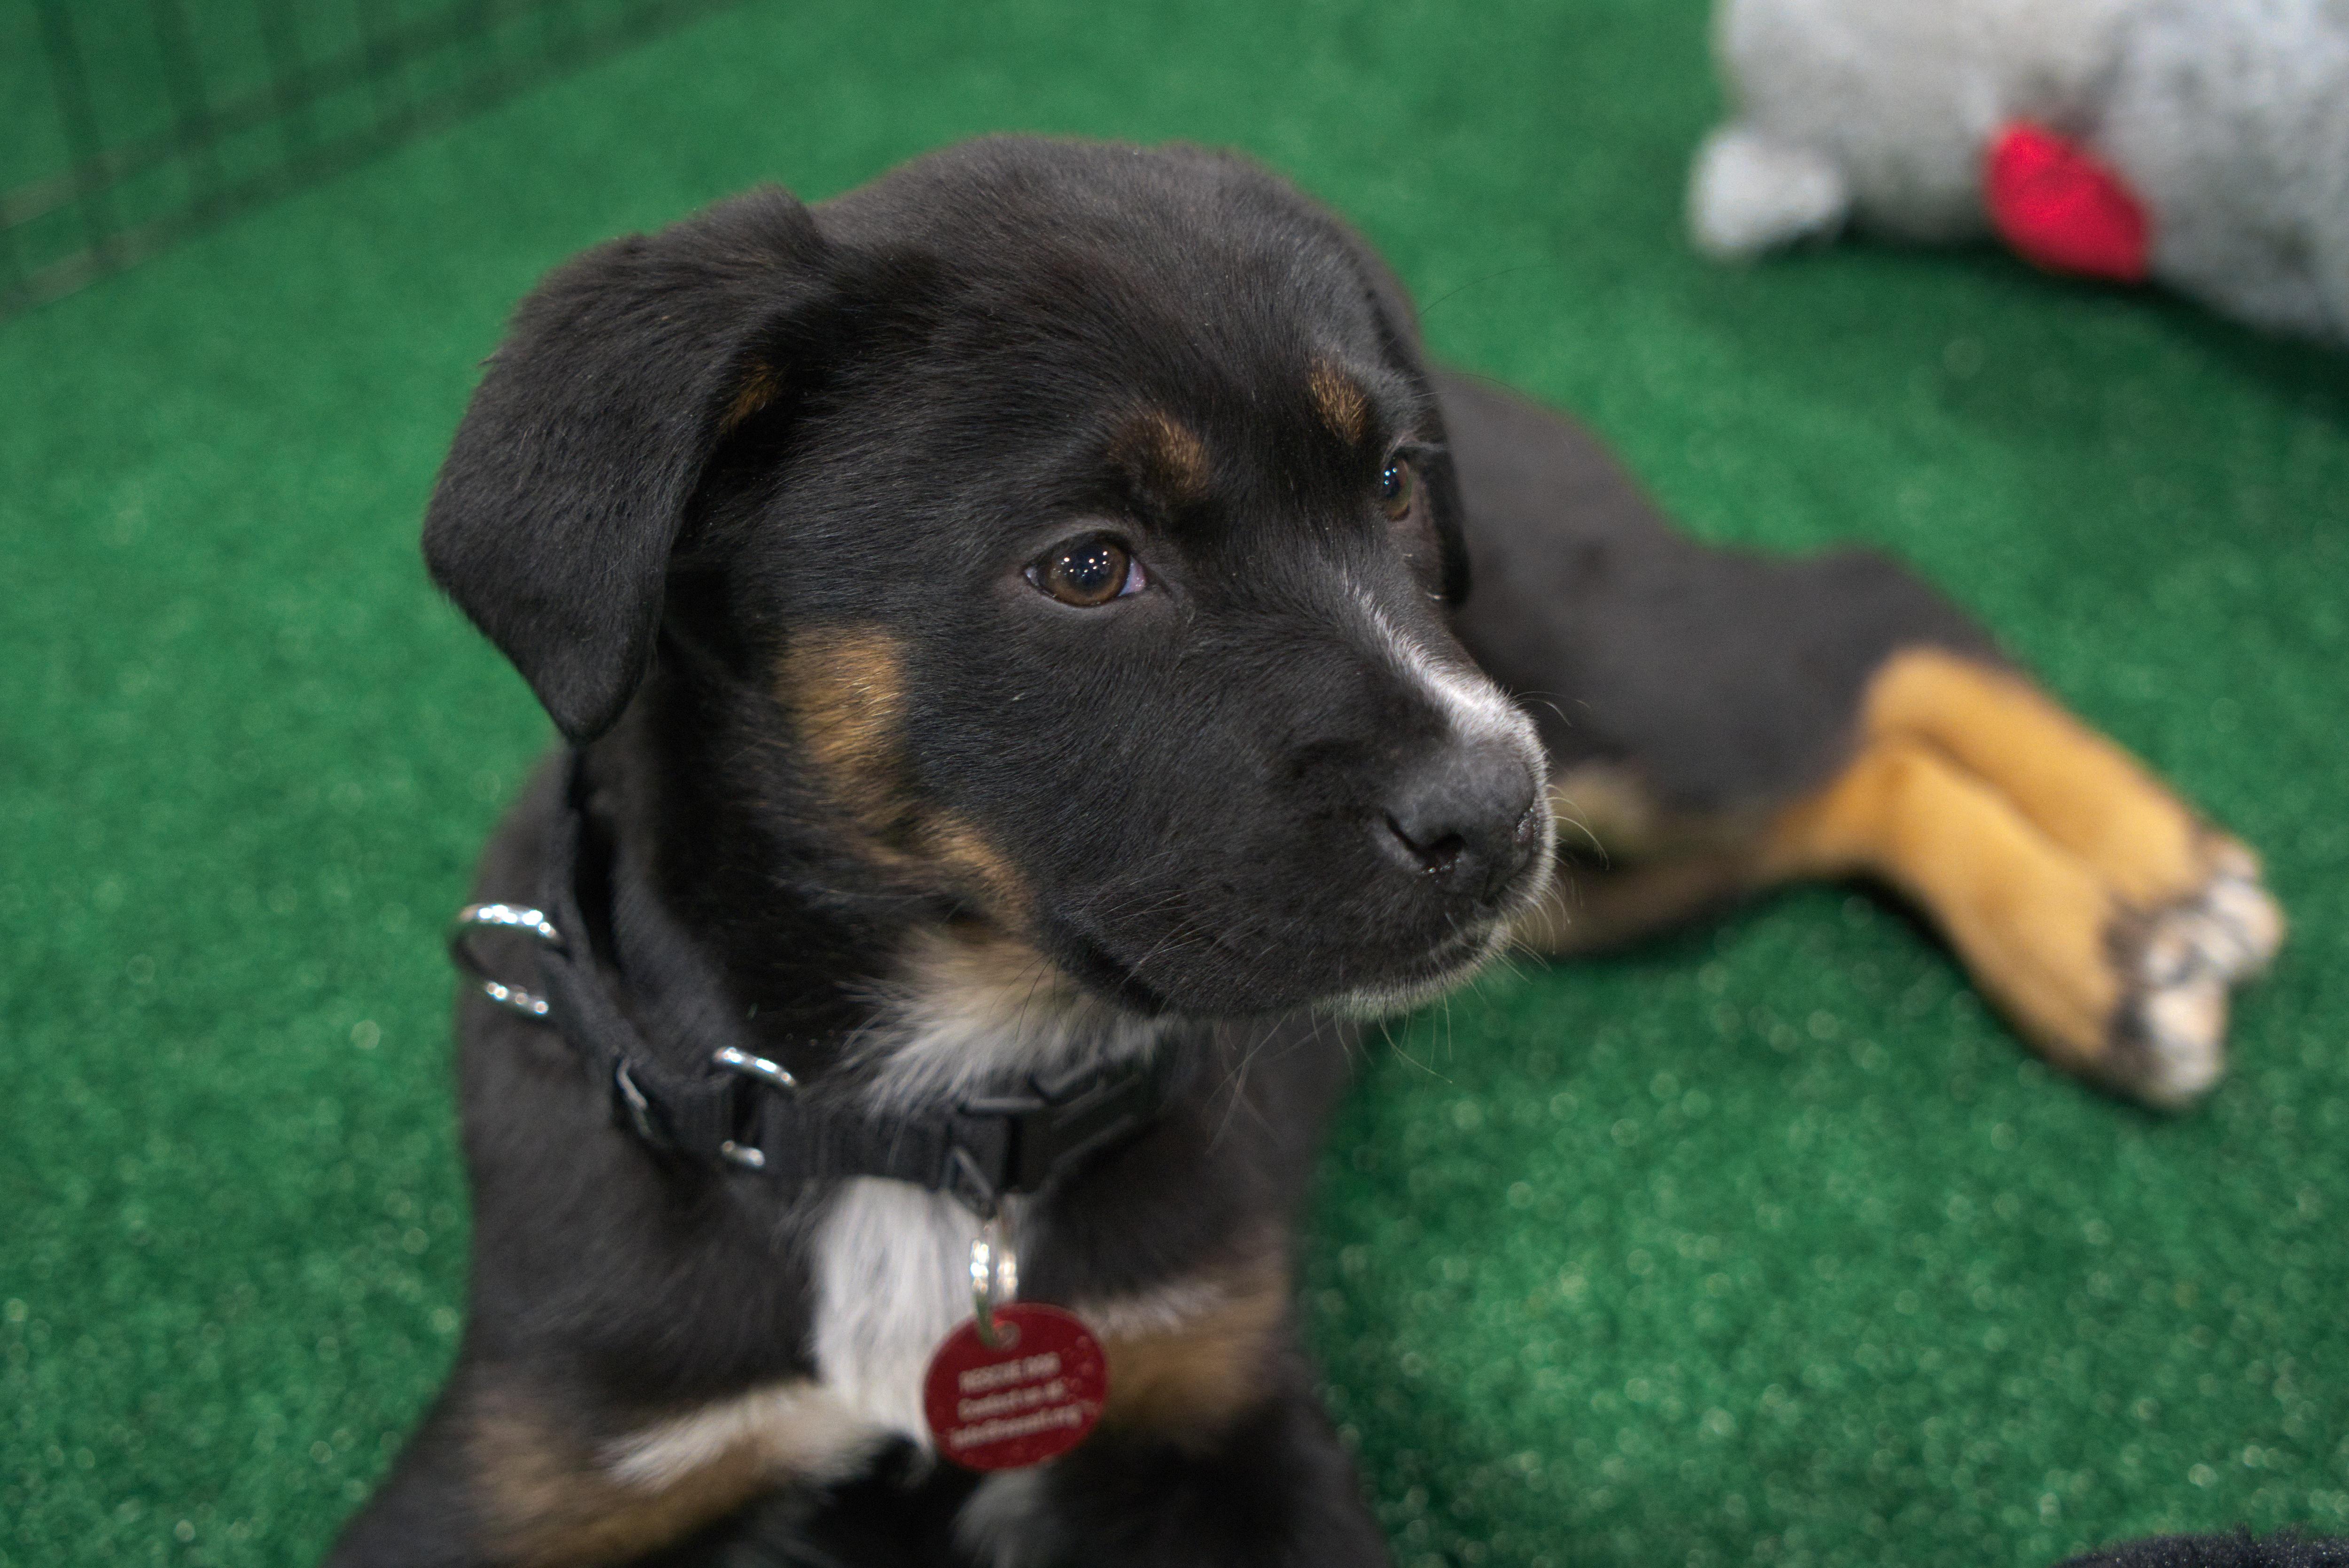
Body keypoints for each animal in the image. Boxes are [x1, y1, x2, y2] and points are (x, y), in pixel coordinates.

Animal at [331, 138, 2274, 1568]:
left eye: (1394, 489)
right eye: (1089, 566)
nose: (1495, 813)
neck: (913, 1123)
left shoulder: (1217, 1403)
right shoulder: (545, 1460)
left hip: (1612, 713)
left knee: (1864, 615)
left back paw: (2149, 891)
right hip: (1603, 859)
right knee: (1846, 762)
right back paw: (2123, 944)